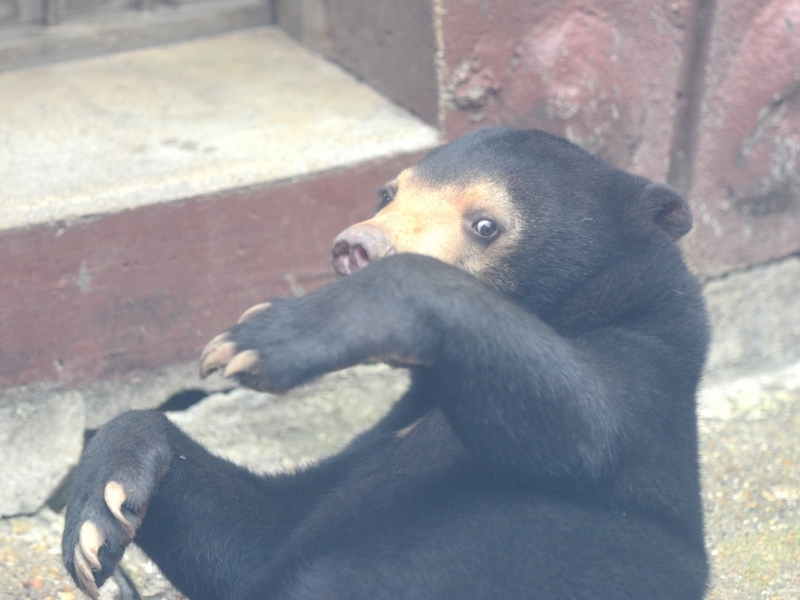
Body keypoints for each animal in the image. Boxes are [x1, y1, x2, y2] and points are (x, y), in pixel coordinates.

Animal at [65, 129, 708, 600]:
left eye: (485, 224)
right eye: (387, 194)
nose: (356, 246)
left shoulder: (643, 379)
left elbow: (585, 429)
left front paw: (268, 336)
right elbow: (255, 540)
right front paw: (99, 516)